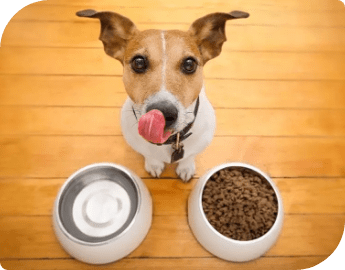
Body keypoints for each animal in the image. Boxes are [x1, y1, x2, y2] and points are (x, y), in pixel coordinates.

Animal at [76, 8, 249, 181]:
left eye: (189, 64)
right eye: (138, 62)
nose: (164, 113)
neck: (169, 141)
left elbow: (189, 156)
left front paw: (186, 167)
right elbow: (150, 156)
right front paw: (154, 165)